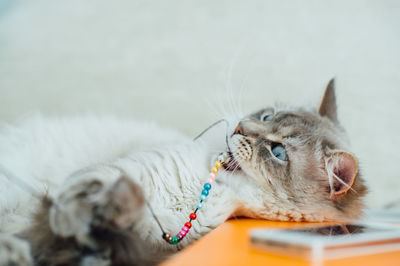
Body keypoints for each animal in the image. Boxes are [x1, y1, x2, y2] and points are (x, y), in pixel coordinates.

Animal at [0, 79, 368, 266]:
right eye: (267, 117)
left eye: (277, 152)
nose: (239, 126)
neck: (208, 190)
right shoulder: (120, 172)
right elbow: (82, 193)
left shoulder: (157, 241)